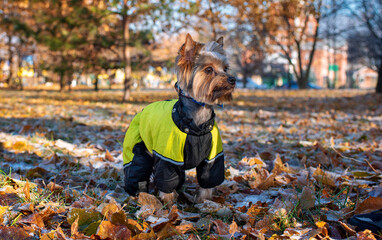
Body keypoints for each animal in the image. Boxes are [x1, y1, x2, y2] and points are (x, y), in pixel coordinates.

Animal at [123, 33, 236, 205]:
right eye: (209, 69)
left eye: (225, 68)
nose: (232, 79)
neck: (197, 123)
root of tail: (143, 110)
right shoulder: (168, 157)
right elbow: (167, 180)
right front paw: (168, 205)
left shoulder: (213, 158)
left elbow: (208, 180)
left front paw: (204, 203)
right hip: (137, 148)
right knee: (136, 170)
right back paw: (139, 196)